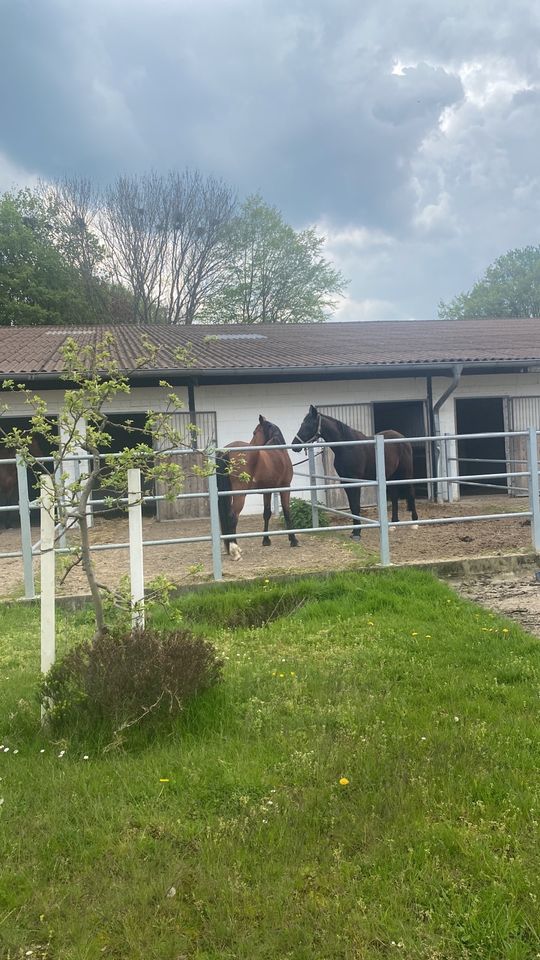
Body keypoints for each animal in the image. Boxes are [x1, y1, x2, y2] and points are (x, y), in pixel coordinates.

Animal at [216, 414, 300, 564]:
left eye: (255, 432)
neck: (278, 449)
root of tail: (227, 452)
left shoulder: (267, 490)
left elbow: (266, 513)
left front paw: (266, 540)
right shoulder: (285, 487)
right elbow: (287, 511)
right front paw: (293, 540)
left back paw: (229, 547)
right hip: (239, 494)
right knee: (232, 516)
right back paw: (235, 551)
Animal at [292, 404, 418, 536]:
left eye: (308, 425)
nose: (294, 445)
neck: (347, 447)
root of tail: (401, 437)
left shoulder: (355, 480)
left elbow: (356, 506)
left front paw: (357, 532)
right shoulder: (346, 481)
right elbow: (352, 506)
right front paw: (354, 531)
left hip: (406, 473)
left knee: (411, 492)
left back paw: (414, 522)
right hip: (391, 475)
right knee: (394, 496)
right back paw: (393, 524)